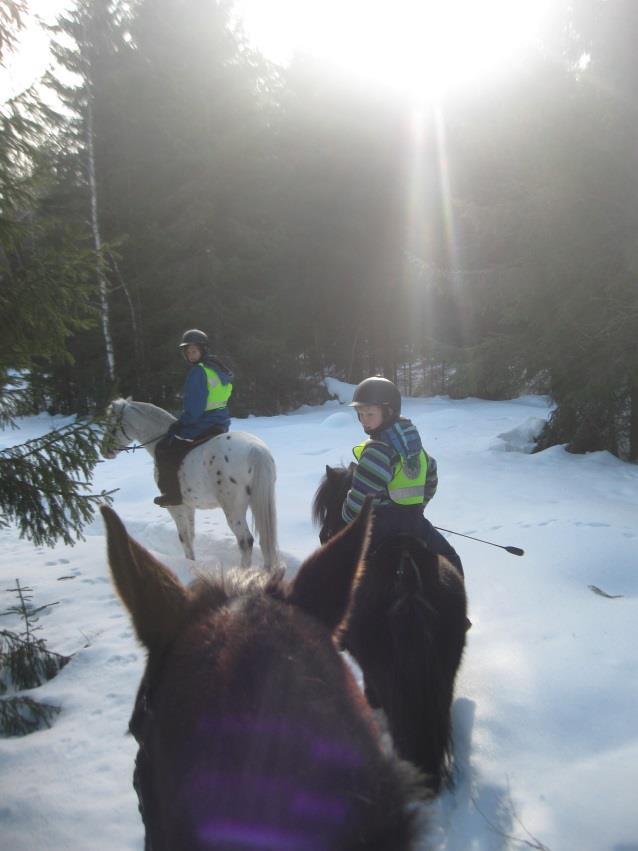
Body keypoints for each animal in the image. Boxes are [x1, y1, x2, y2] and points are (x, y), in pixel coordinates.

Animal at [101, 402, 278, 572]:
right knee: (265, 539)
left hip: (233, 508)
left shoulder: (175, 506)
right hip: (257, 501)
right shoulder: (189, 505)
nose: (105, 451)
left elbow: (183, 537)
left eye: (111, 425)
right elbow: (191, 536)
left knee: (245, 541)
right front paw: (191, 563)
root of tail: (255, 448)